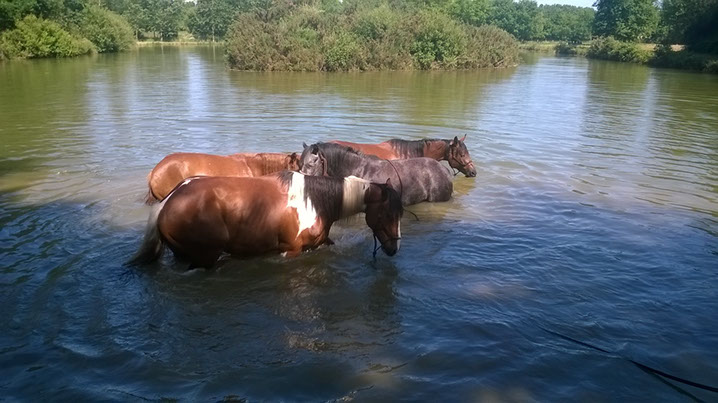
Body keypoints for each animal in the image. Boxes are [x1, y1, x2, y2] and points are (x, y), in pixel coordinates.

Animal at [129, 171, 403, 269]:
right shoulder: (291, 251)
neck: (314, 201)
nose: (393, 248)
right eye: (388, 214)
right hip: (205, 257)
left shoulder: (317, 245)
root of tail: (167, 201)